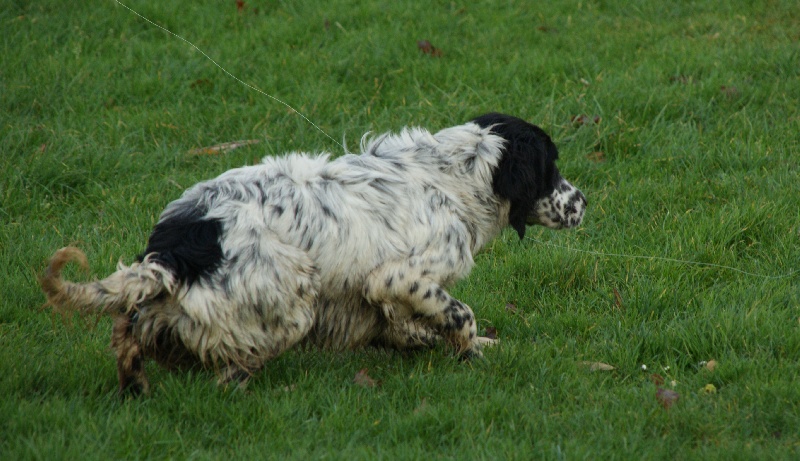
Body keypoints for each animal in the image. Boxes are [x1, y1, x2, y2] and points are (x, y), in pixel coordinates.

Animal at [39, 113, 588, 394]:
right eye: (551, 167)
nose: (583, 202)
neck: (453, 177)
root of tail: (176, 249)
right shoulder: (396, 276)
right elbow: (459, 313)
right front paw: (469, 350)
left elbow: (407, 324)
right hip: (292, 305)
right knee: (228, 371)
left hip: (161, 307)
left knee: (128, 330)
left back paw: (135, 384)